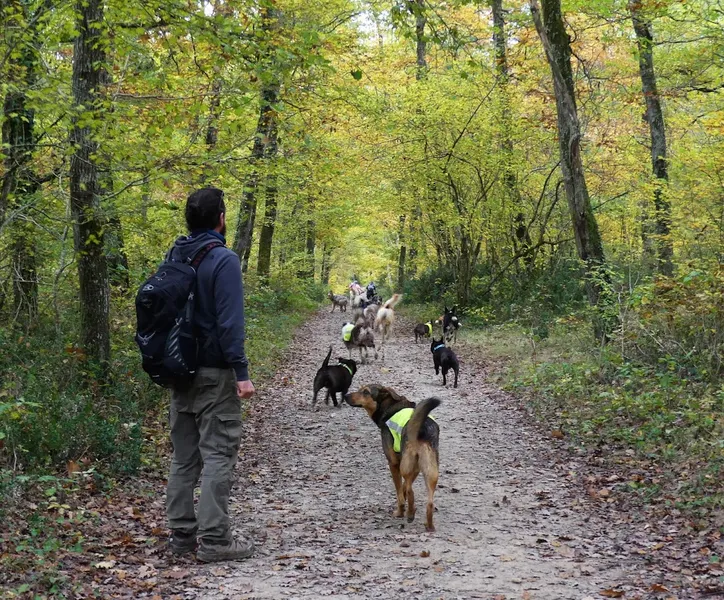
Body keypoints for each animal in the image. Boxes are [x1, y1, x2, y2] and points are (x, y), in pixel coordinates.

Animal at [346, 384, 442, 528]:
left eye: (366, 392)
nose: (345, 396)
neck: (389, 406)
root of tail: (421, 429)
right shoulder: (415, 468)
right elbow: (403, 488)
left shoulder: (393, 463)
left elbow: (400, 492)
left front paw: (400, 511)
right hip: (430, 469)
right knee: (429, 502)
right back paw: (428, 525)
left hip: (407, 465)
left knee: (411, 491)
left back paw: (409, 514)